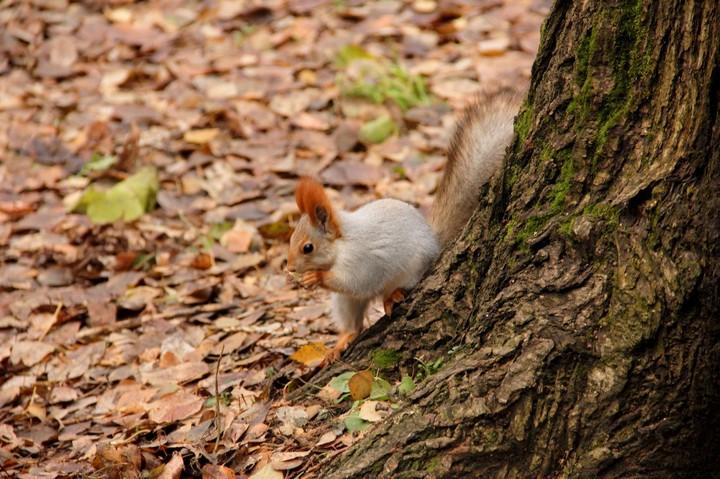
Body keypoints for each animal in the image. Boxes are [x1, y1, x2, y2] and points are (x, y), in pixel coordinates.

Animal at [286, 89, 523, 360]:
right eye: (291, 240)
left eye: (308, 247)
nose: (290, 268)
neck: (342, 243)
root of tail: (434, 241)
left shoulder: (362, 261)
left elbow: (357, 282)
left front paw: (315, 276)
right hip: (346, 302)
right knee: (353, 324)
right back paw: (339, 344)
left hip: (414, 268)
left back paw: (393, 296)